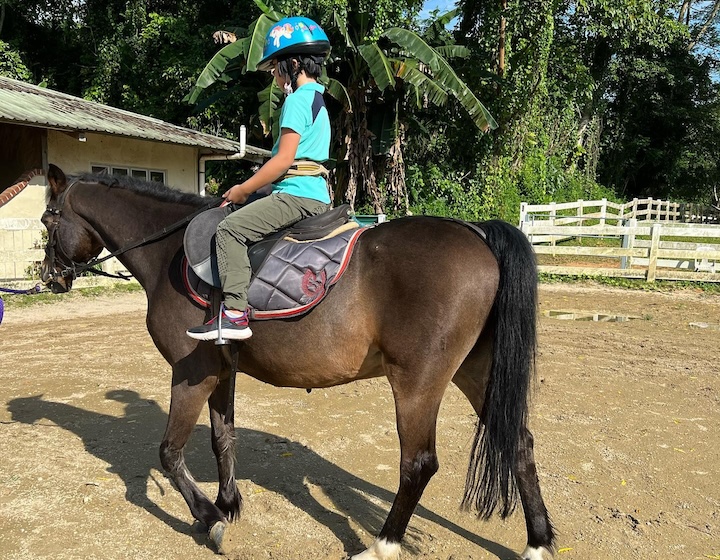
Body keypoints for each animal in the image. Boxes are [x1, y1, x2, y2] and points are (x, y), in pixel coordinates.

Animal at [39, 164, 556, 556]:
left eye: (47, 221)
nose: (49, 278)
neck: (169, 249)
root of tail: (477, 233)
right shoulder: (221, 370)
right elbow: (222, 438)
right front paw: (228, 503)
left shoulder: (191, 373)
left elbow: (169, 452)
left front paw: (210, 518)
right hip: (474, 372)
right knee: (520, 443)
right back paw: (538, 542)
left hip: (419, 381)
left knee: (418, 464)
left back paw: (382, 545)